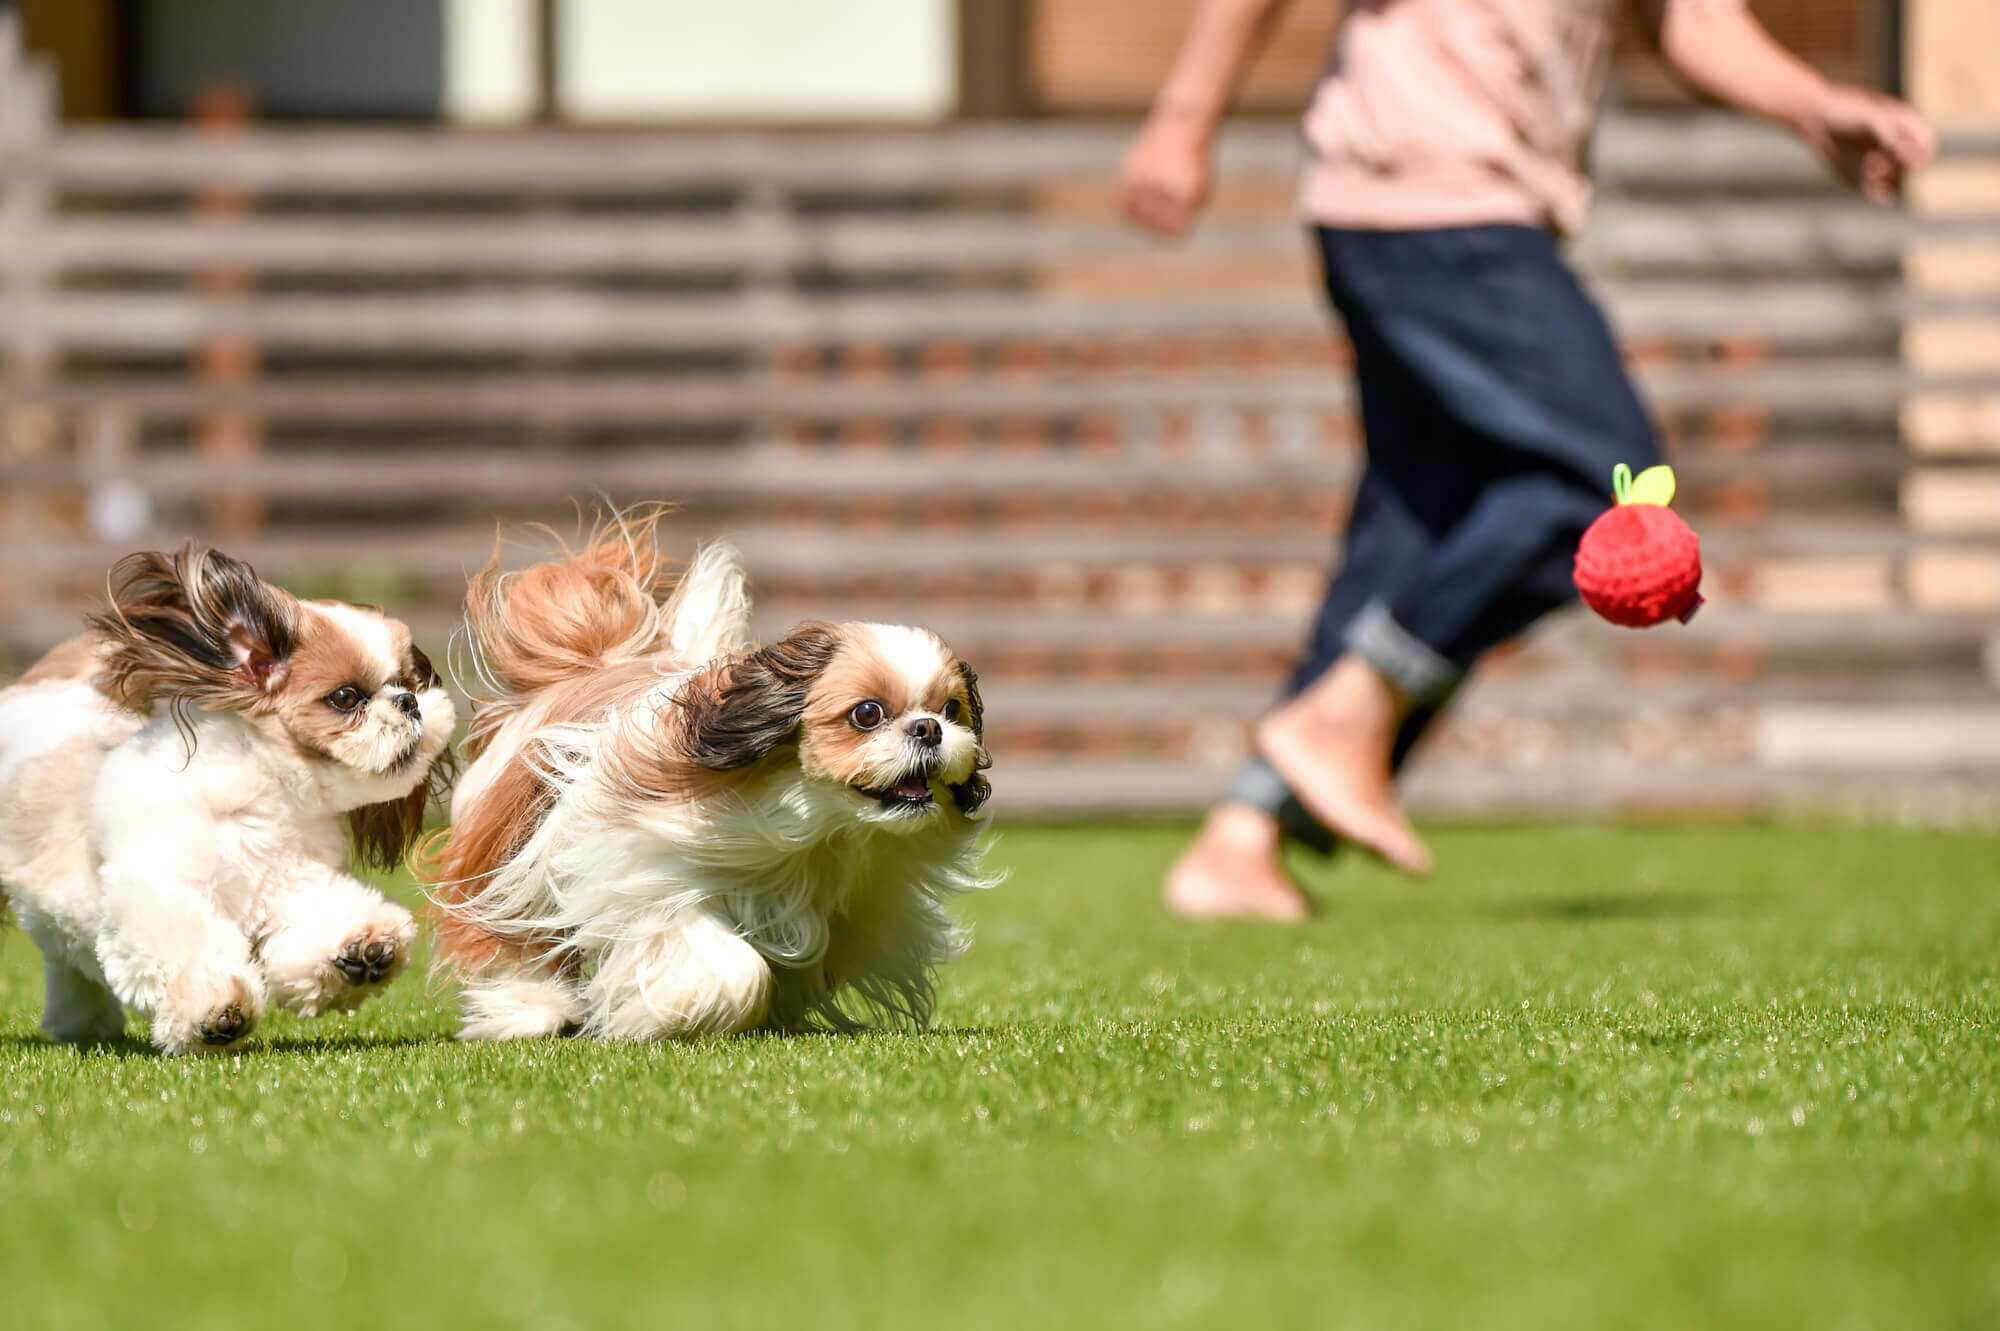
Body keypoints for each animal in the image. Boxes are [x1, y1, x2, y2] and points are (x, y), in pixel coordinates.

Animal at [0, 543, 454, 1055]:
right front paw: (217, 1010)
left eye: (410, 683)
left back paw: (82, 1022)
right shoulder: (158, 888)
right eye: (345, 697)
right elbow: (189, 947)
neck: (267, 800)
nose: (409, 703)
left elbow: (320, 926)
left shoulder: (295, 885)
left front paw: (361, 951)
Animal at [438, 511, 1000, 1039]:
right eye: (867, 714)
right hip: (511, 847)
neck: (810, 819)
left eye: (952, 709)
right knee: (520, 937)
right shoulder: (645, 877)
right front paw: (668, 1016)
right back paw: (537, 1012)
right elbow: (735, 970)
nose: (929, 728)